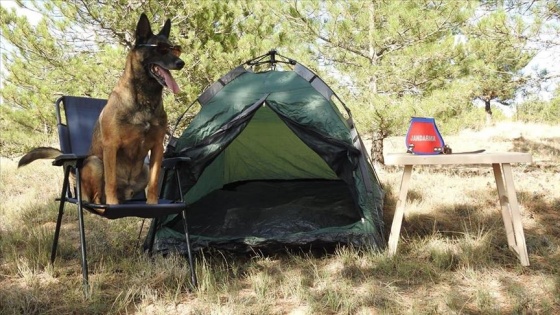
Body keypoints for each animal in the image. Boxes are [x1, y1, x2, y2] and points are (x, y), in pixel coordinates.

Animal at [17, 12, 184, 205]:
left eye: (175, 49)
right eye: (161, 49)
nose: (181, 63)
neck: (144, 100)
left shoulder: (157, 148)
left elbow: (155, 182)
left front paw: (152, 203)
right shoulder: (111, 146)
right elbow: (110, 180)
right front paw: (112, 203)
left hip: (144, 168)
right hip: (95, 163)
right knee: (96, 197)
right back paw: (103, 203)